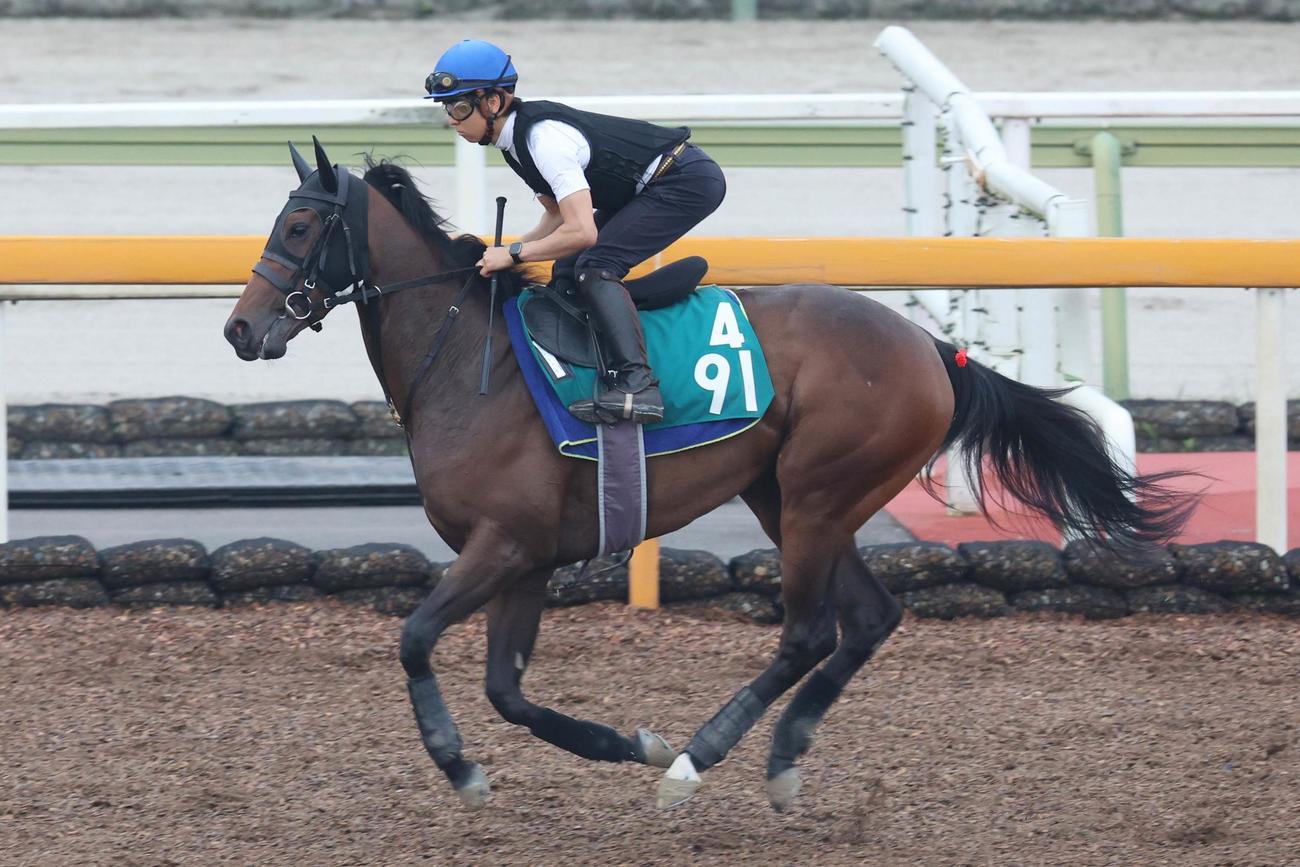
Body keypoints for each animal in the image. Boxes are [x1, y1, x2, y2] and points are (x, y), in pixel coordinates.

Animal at [224, 138, 1193, 813]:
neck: (467, 358)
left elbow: (415, 638)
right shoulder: (524, 558)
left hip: (815, 495)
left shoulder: (502, 544)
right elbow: (508, 691)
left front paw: (463, 766)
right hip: (793, 496)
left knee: (807, 632)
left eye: (299, 227)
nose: (239, 330)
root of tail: (929, 346)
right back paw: (781, 759)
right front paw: (628, 744)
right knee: (870, 617)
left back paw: (697, 760)